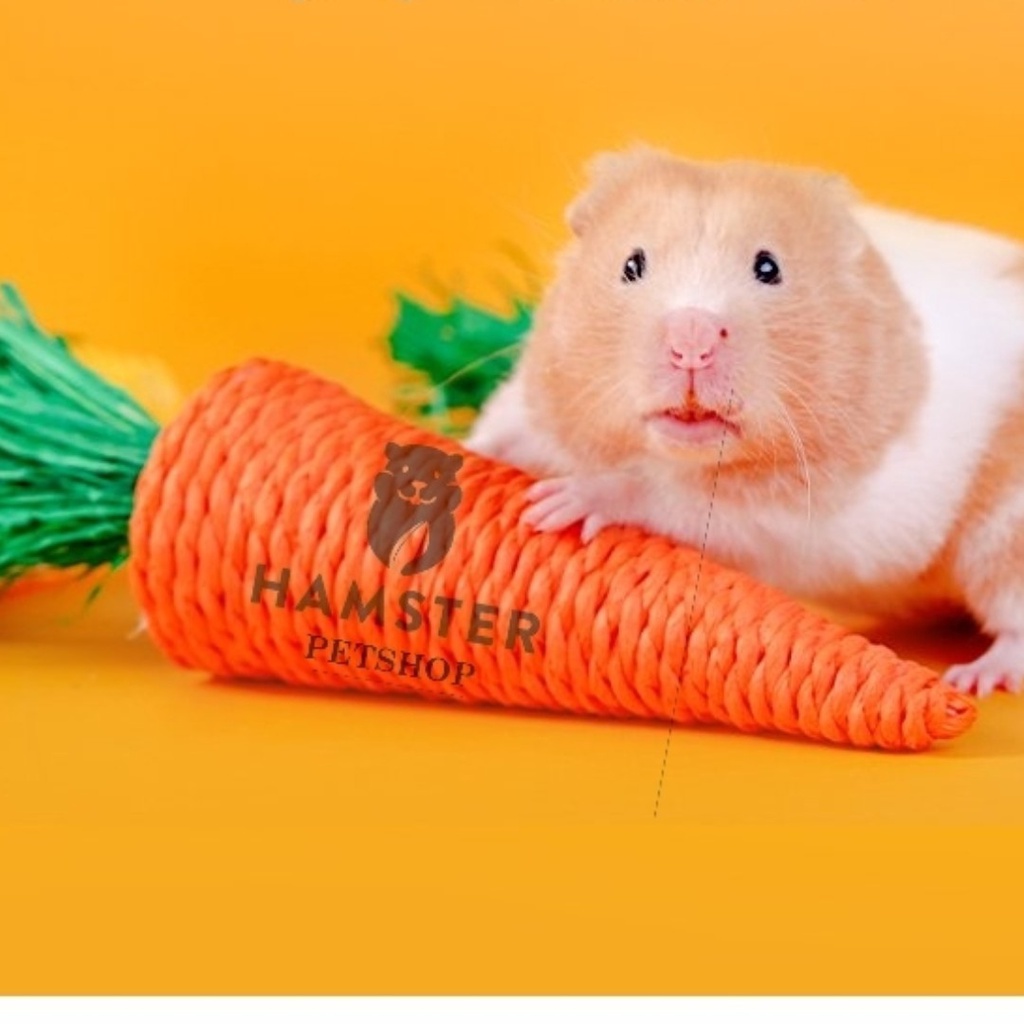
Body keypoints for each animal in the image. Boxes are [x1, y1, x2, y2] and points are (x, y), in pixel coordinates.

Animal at [464, 145, 1024, 698]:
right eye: (632, 264)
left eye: (768, 267)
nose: (691, 342)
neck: (679, 456)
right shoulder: (531, 403)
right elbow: (505, 428)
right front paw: (474, 453)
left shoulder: (788, 525)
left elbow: (659, 496)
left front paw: (566, 501)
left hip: (1004, 532)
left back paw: (978, 677)